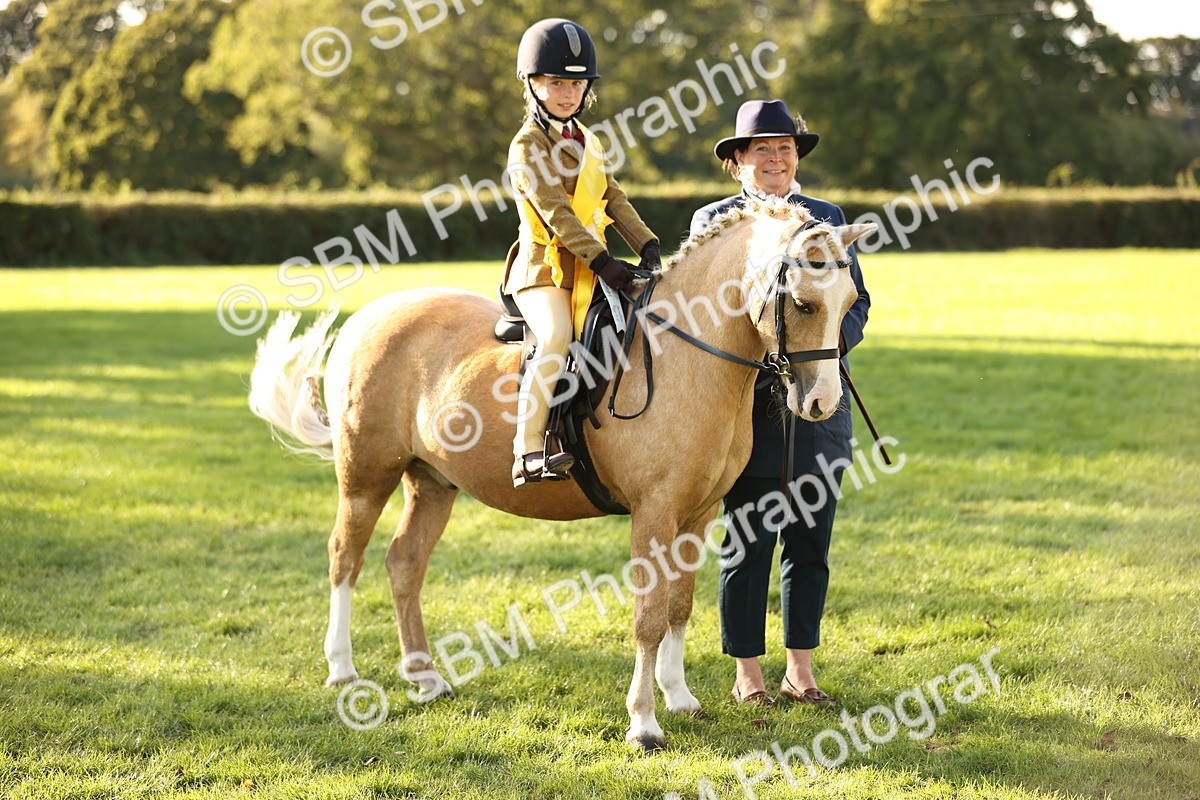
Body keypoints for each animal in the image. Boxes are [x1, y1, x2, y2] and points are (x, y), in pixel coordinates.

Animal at [248, 195, 873, 751]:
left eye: (849, 302)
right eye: (803, 304)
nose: (821, 403)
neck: (685, 352)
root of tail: (368, 317)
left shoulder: (696, 514)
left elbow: (679, 606)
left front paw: (679, 698)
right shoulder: (654, 514)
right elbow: (648, 617)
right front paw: (644, 724)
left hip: (432, 483)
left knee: (404, 564)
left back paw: (425, 679)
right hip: (366, 474)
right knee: (345, 558)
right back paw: (343, 670)